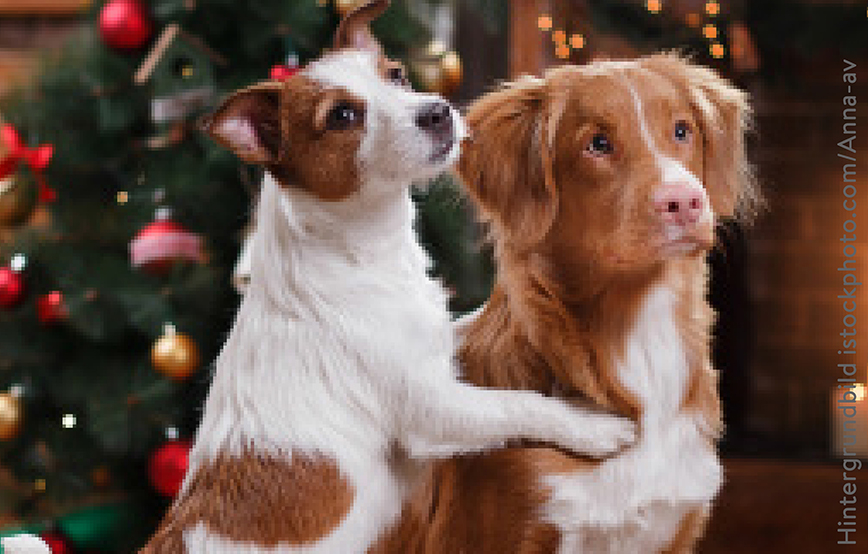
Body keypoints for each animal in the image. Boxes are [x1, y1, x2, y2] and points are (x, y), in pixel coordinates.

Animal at [139, 2, 636, 548]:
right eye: (342, 116)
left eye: (396, 75)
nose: (438, 110)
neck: (356, 255)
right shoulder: (433, 409)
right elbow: (518, 404)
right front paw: (591, 427)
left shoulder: (438, 343)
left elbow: (473, 325)